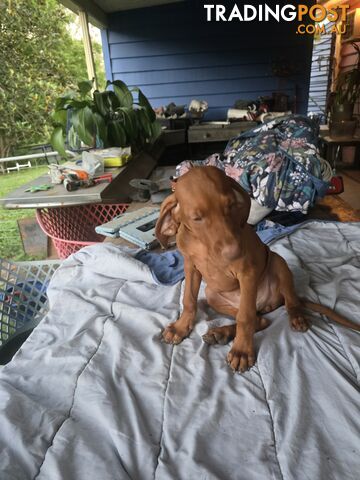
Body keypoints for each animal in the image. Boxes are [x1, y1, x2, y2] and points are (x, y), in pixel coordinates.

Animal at [155, 167, 360, 374]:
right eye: (197, 218)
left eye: (231, 205)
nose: (235, 252)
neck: (202, 245)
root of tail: (269, 304)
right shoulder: (190, 266)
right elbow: (188, 299)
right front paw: (180, 327)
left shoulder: (247, 273)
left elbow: (245, 318)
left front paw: (242, 352)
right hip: (212, 294)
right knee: (259, 320)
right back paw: (220, 333)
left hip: (278, 264)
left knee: (283, 305)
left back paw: (295, 317)